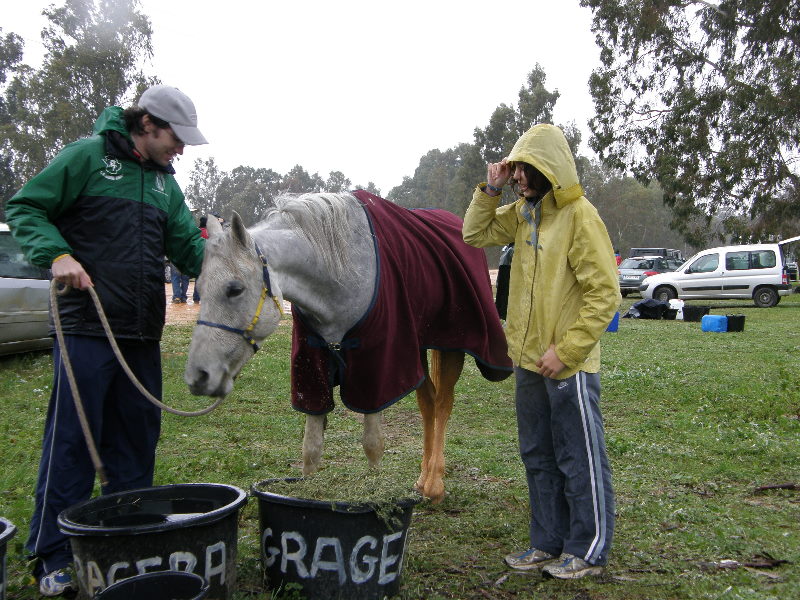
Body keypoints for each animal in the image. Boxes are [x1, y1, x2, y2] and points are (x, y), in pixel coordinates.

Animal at [184, 192, 510, 502]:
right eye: (199, 286)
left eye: (234, 289)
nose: (198, 376)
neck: (340, 275)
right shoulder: (312, 370)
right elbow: (311, 448)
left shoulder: (377, 371)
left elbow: (373, 445)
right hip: (415, 348)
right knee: (428, 402)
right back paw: (422, 480)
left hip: (451, 346)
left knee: (442, 404)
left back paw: (434, 485)